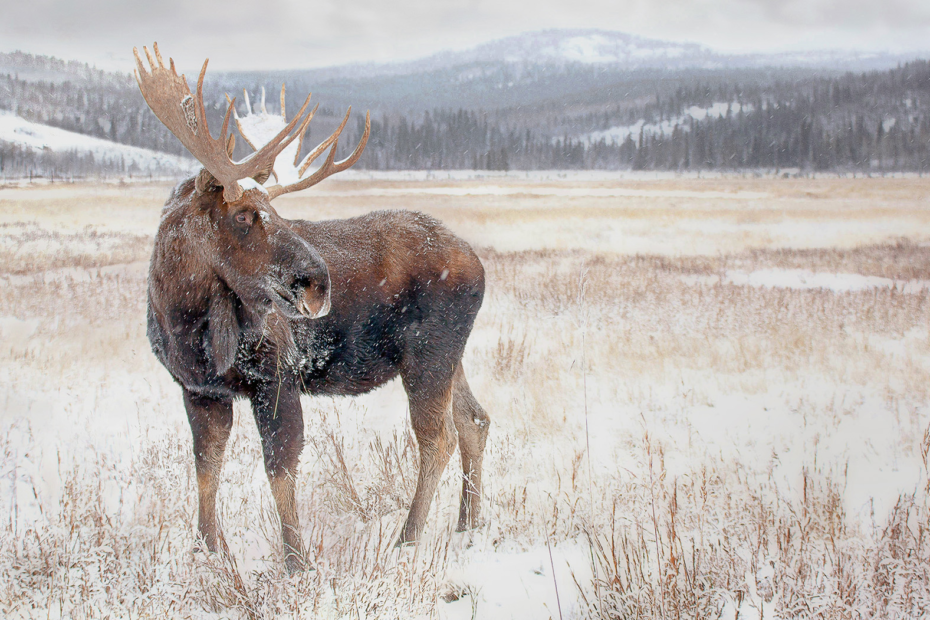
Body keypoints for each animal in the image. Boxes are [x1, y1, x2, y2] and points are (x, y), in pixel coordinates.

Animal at [134, 44, 490, 573]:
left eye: (277, 212)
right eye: (244, 216)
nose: (319, 282)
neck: (182, 323)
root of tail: (479, 265)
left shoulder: (276, 374)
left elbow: (280, 468)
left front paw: (296, 562)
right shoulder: (199, 389)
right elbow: (205, 468)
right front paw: (208, 550)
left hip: (429, 353)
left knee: (437, 437)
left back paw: (407, 538)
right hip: (450, 357)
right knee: (475, 421)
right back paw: (467, 524)